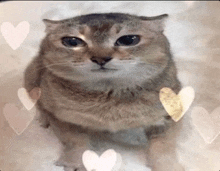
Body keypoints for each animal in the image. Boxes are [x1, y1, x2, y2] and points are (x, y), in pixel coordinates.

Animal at [23, 13, 183, 171]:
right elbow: (74, 140)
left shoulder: (169, 114)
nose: (100, 58)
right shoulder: (61, 117)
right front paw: (75, 162)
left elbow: (164, 146)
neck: (108, 95)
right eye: (72, 41)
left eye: (128, 40)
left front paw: (167, 165)